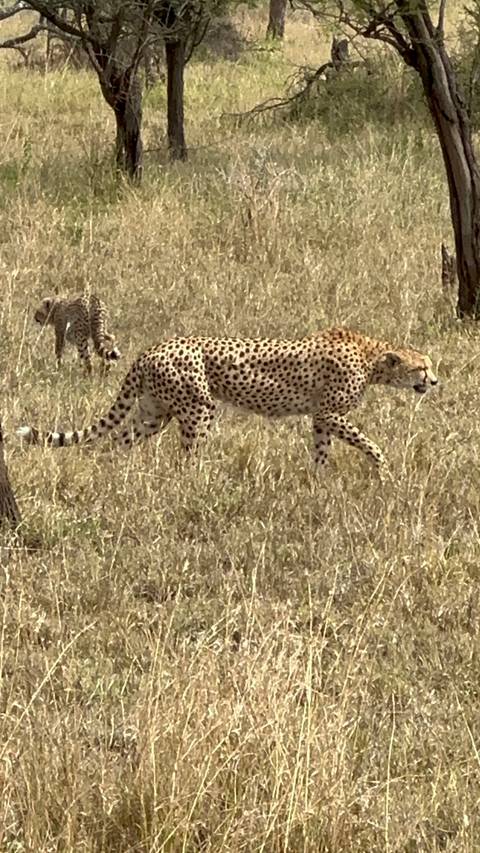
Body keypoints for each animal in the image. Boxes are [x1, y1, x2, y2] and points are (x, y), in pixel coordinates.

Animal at [17, 327, 437, 471]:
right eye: (421, 368)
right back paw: (198, 482)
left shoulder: (320, 418)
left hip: (155, 411)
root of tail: (152, 348)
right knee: (186, 455)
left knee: (121, 438)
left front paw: (318, 481)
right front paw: (382, 467)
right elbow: (367, 441)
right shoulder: (329, 412)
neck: (372, 357)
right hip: (198, 407)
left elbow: (321, 450)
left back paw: (120, 474)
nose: (434, 381)